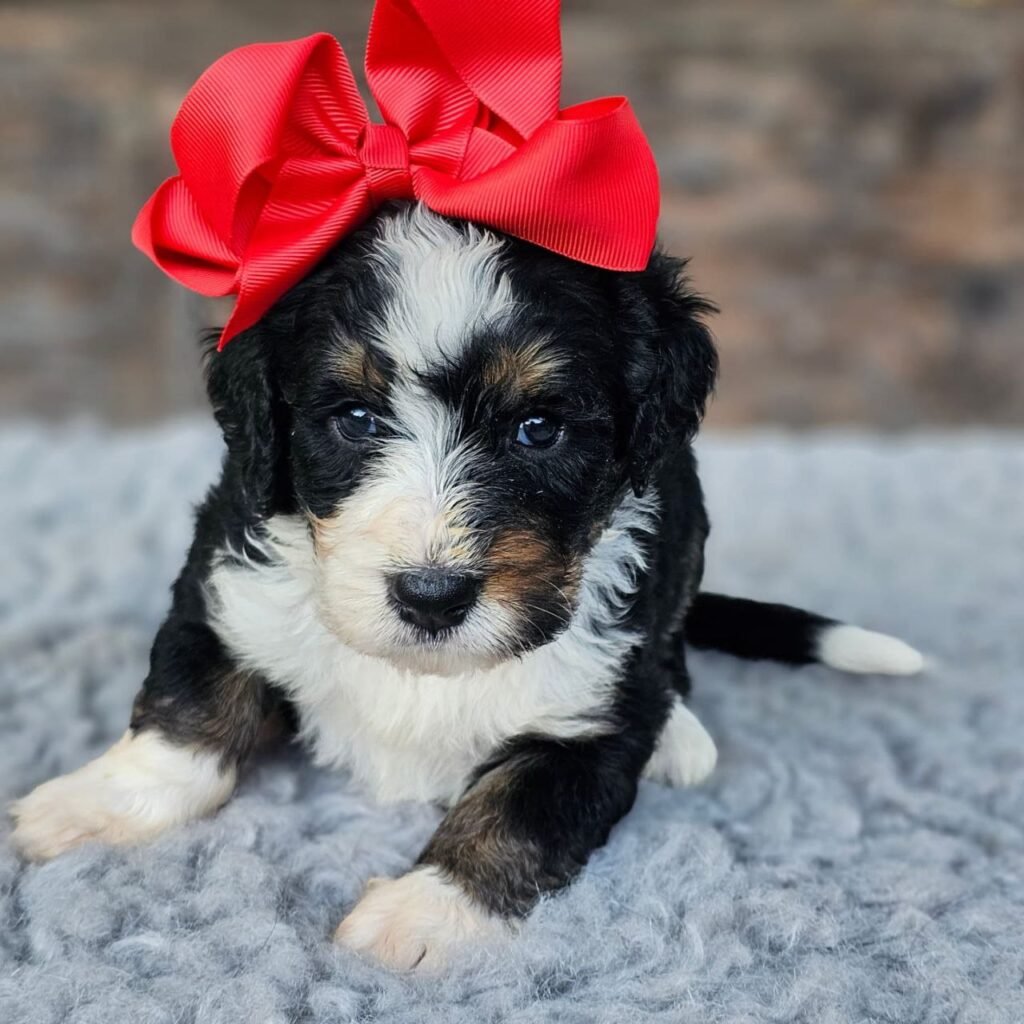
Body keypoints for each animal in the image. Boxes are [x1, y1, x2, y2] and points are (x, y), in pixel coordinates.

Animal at [8, 199, 925, 966]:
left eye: (538, 430)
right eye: (354, 419)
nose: (432, 598)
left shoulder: (590, 714)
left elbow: (515, 814)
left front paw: (421, 915)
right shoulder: (228, 580)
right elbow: (189, 711)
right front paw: (95, 804)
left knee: (673, 659)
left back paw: (682, 737)